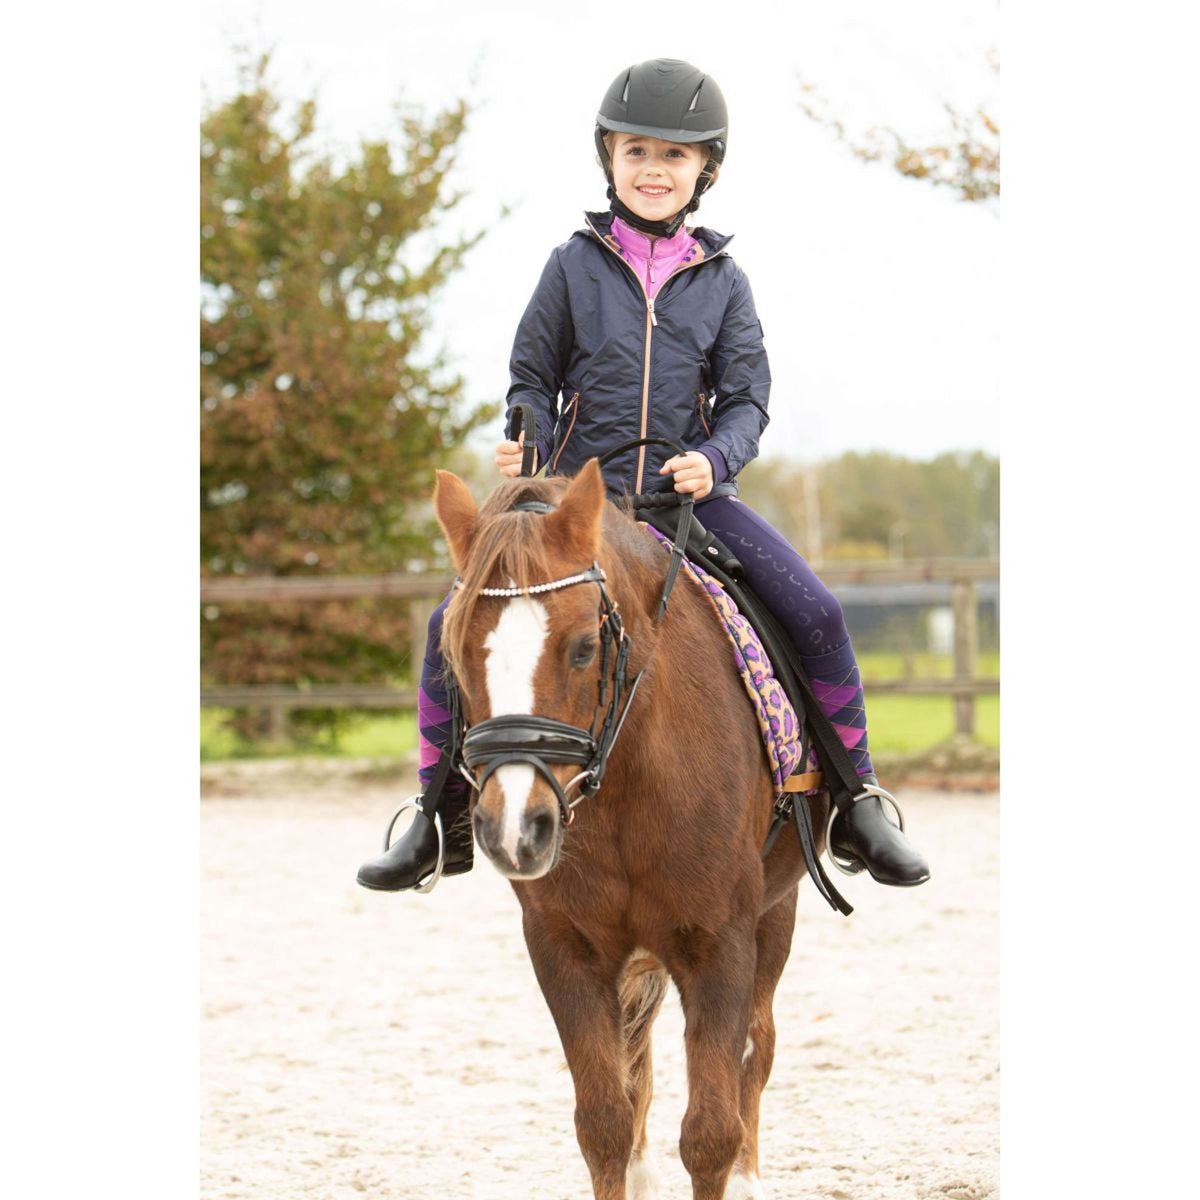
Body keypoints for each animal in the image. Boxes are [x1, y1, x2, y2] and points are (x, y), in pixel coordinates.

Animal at [434, 458, 830, 1200]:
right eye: (454, 653)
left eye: (585, 647)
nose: (515, 828)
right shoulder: (565, 947)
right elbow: (604, 1124)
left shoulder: (720, 943)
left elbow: (711, 1132)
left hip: (776, 914)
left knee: (755, 1053)